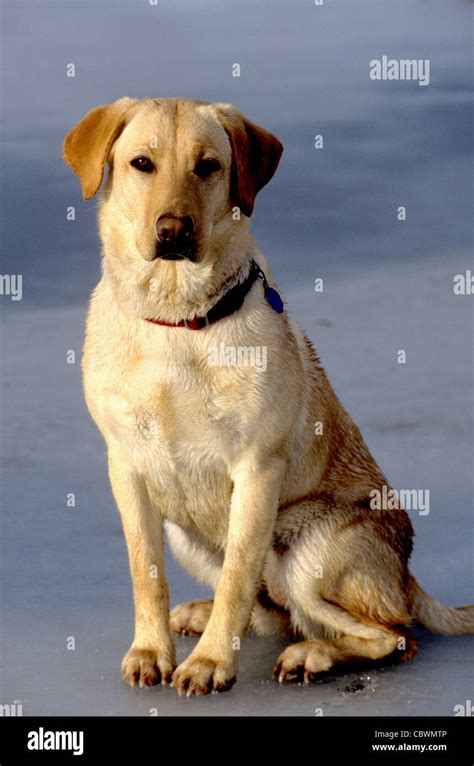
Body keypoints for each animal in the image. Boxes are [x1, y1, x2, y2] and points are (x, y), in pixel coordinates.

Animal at [64, 96, 474, 696]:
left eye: (208, 166)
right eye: (142, 164)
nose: (173, 230)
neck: (176, 321)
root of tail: (406, 576)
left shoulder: (256, 470)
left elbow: (239, 572)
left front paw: (211, 663)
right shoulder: (128, 467)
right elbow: (147, 573)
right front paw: (151, 650)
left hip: (309, 548)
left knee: (391, 633)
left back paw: (313, 656)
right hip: (187, 535)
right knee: (277, 614)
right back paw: (204, 615)